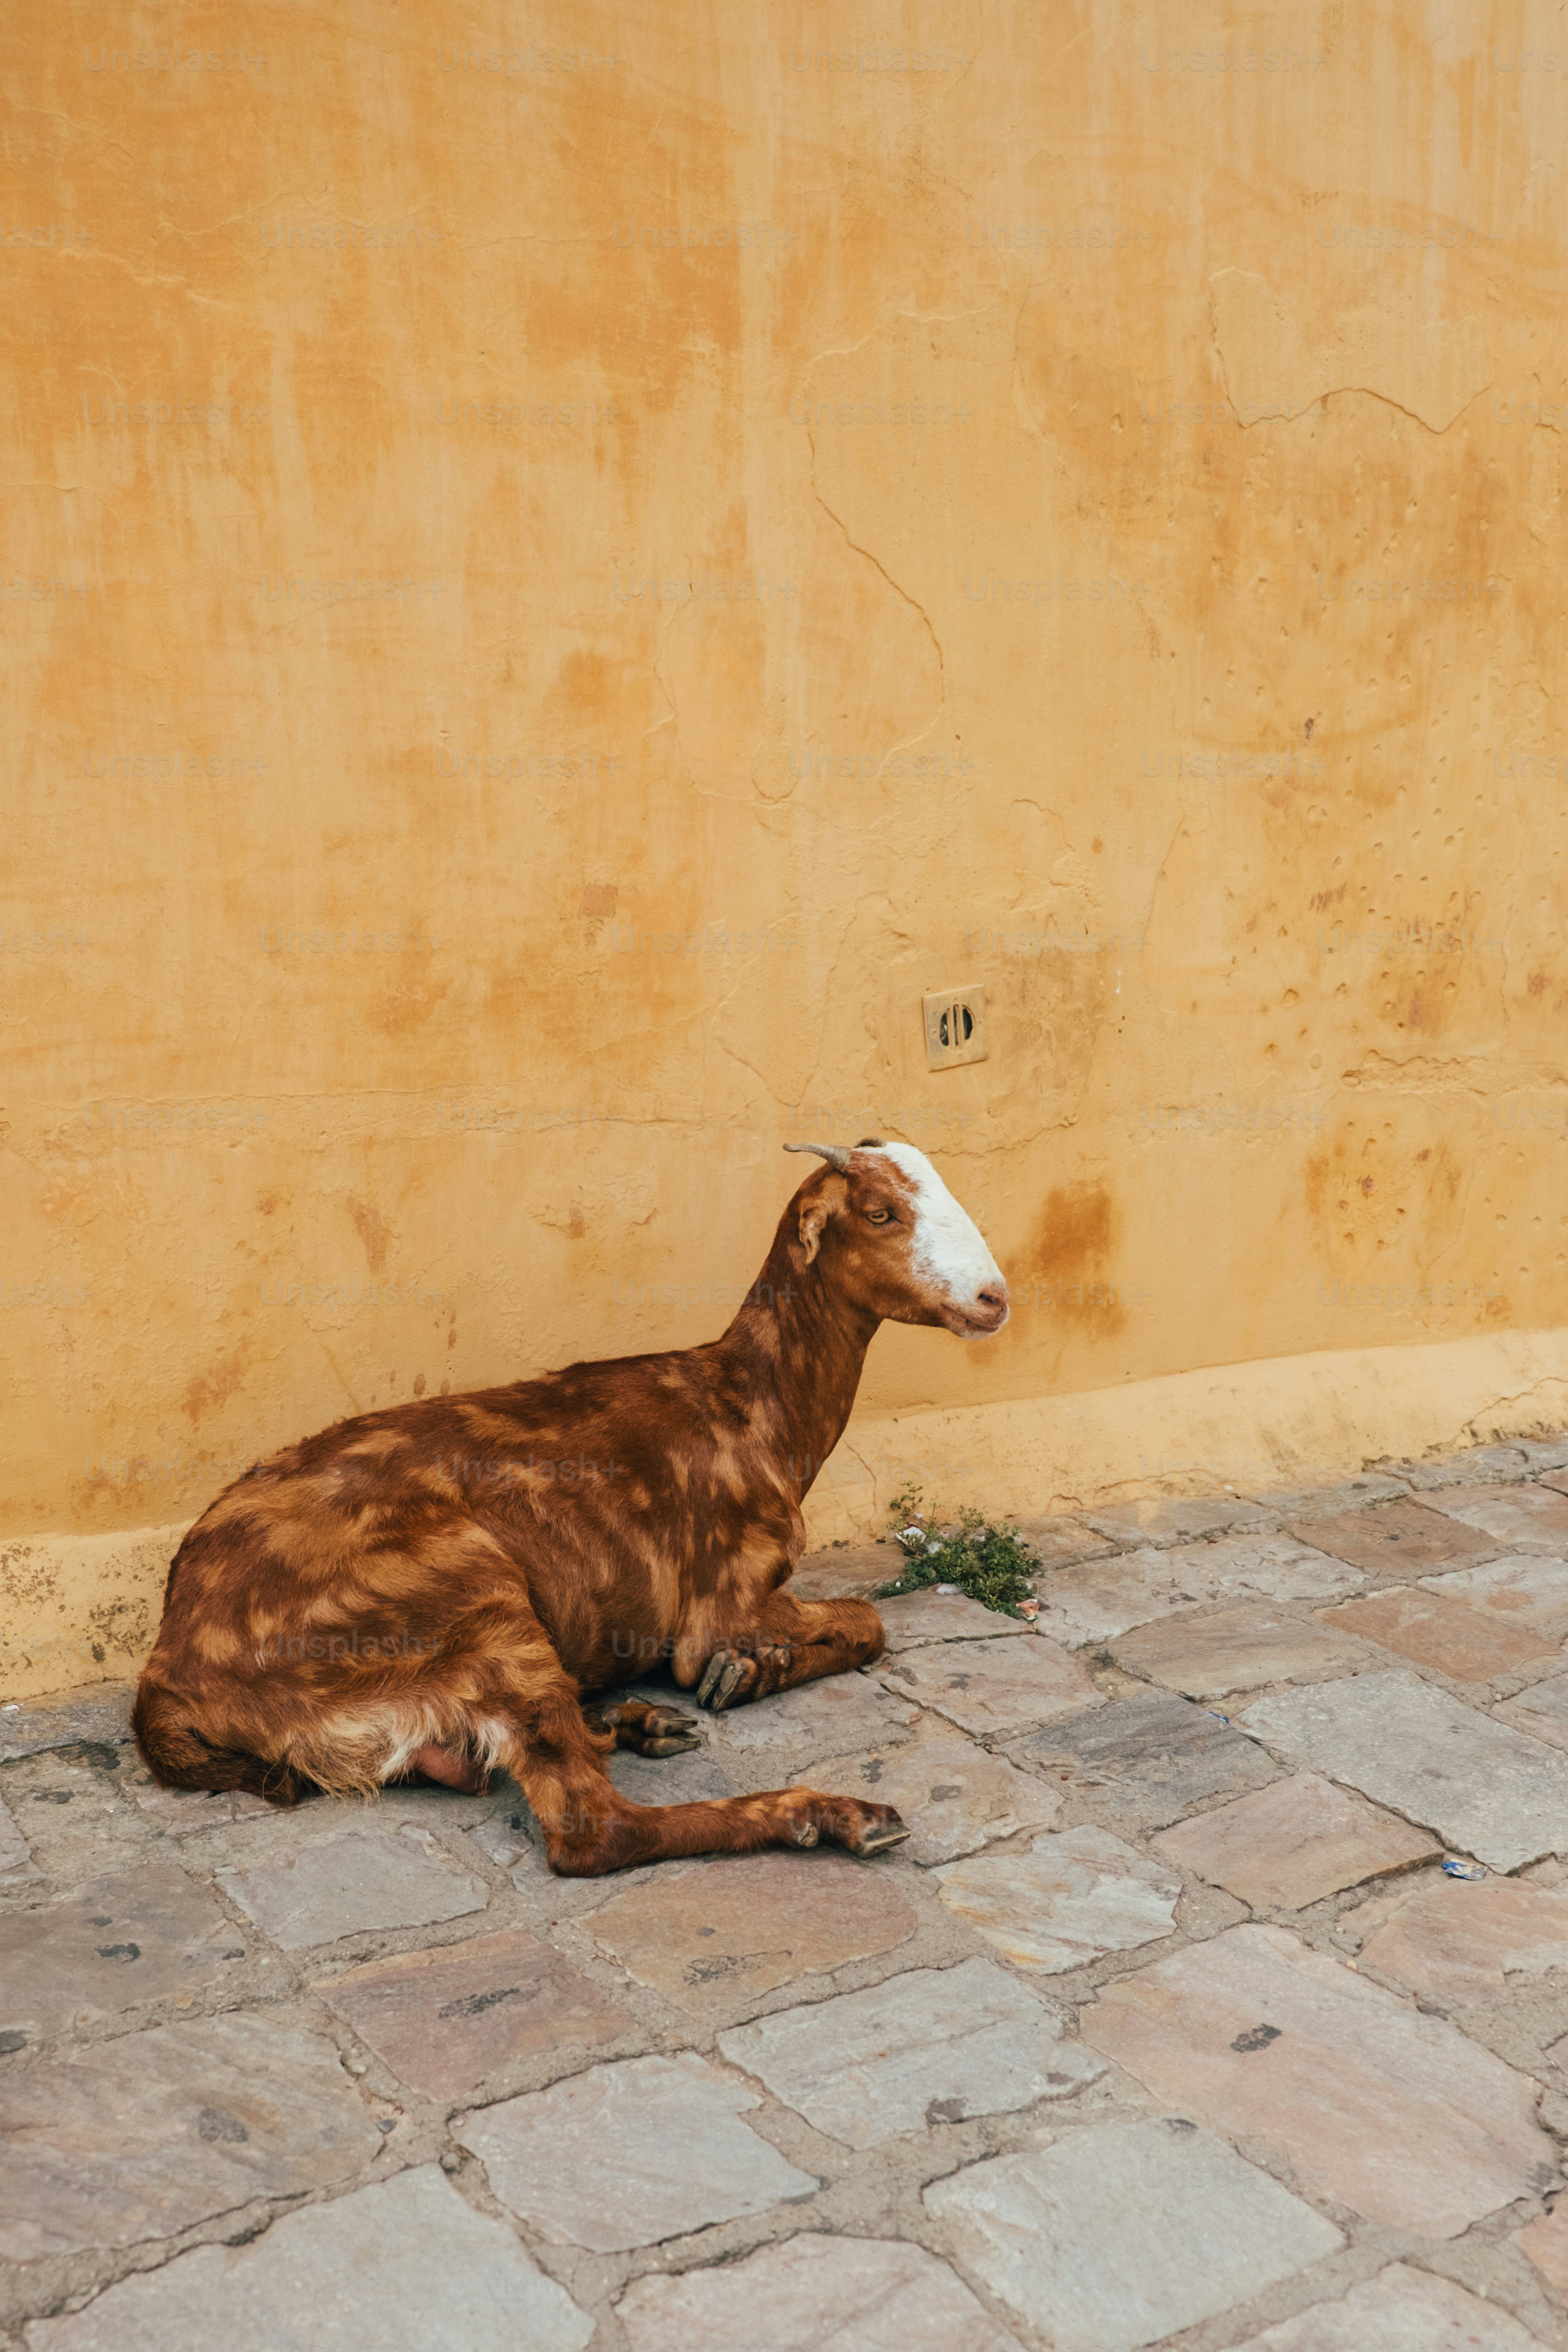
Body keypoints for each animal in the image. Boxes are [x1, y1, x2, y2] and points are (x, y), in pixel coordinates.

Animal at [132, 1139, 1009, 1874]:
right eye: (880, 1212)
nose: (993, 1297)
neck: (748, 1406)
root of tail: (169, 1671)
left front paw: (742, 1674)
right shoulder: (723, 1595)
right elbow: (864, 1621)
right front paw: (741, 1673)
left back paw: (640, 1723)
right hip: (471, 1595)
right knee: (592, 1830)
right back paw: (833, 1813)